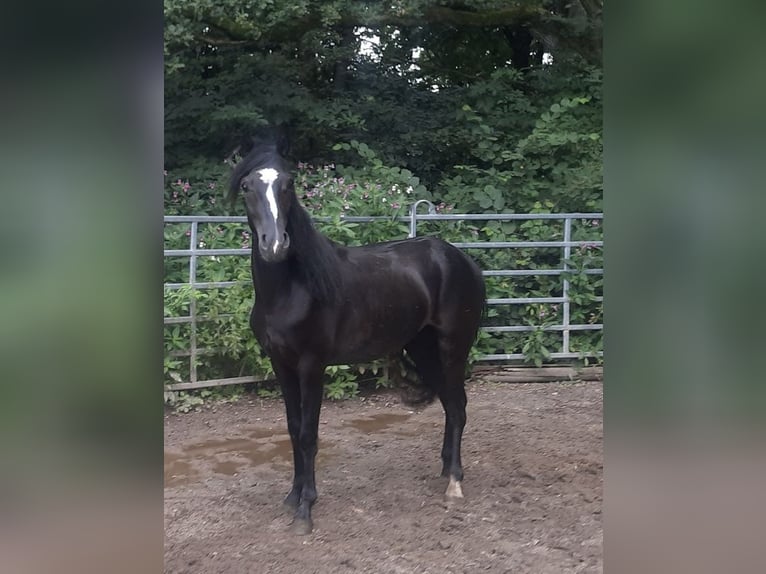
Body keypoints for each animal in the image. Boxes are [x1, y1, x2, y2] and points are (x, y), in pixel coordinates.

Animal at [228, 140, 486, 535]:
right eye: (246, 187)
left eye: (288, 184)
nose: (275, 245)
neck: (293, 289)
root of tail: (463, 260)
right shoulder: (281, 364)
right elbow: (293, 429)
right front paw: (292, 497)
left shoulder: (311, 366)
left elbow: (308, 434)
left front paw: (305, 510)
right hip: (424, 349)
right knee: (448, 404)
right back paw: (445, 470)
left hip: (452, 347)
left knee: (458, 406)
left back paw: (454, 483)